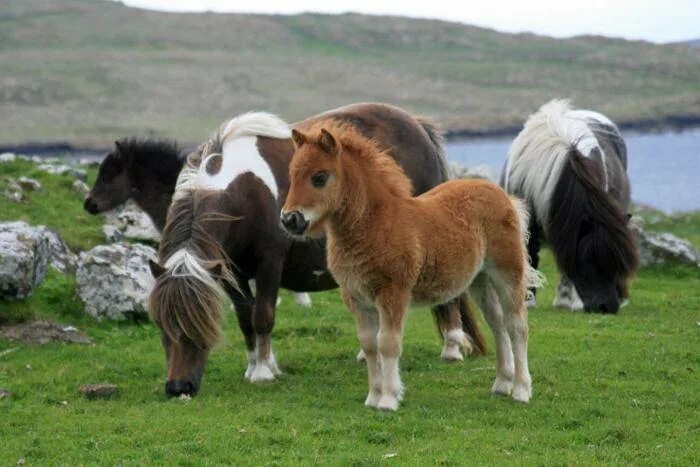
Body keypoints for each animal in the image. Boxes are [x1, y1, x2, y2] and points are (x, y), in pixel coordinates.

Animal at [148, 103, 486, 398]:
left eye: (196, 325)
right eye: (161, 326)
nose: (178, 388)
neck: (244, 190)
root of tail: (417, 125)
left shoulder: (269, 263)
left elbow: (263, 316)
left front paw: (263, 372)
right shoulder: (231, 271)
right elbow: (246, 318)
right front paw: (255, 365)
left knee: (449, 297)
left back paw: (452, 348)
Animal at [282, 125, 540, 414]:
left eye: (319, 177)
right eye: (292, 176)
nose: (289, 219)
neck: (375, 223)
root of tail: (503, 195)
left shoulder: (393, 293)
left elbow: (388, 343)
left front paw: (388, 399)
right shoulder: (356, 298)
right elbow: (369, 345)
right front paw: (372, 396)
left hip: (507, 272)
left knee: (516, 325)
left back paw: (521, 390)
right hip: (480, 281)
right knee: (497, 323)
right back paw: (502, 384)